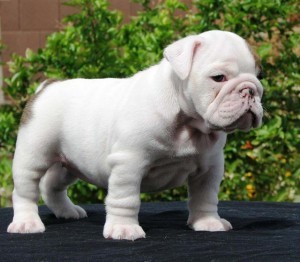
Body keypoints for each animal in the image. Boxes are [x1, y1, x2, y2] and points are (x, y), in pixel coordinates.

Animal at [7, 30, 262, 239]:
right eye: (218, 77)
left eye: (259, 76)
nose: (250, 90)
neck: (188, 123)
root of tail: (47, 86)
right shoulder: (129, 163)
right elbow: (126, 199)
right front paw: (124, 229)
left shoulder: (209, 168)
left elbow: (206, 197)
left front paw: (207, 222)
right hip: (34, 155)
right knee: (25, 190)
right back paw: (27, 223)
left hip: (68, 163)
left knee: (52, 186)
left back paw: (67, 211)